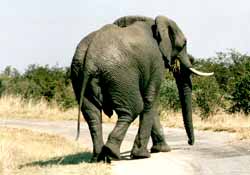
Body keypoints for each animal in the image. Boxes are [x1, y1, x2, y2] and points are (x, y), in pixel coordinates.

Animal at [70, 15, 213, 163]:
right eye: (184, 44)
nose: (190, 143)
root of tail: (90, 58)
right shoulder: (157, 60)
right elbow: (150, 99)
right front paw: (142, 155)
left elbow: (150, 102)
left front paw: (162, 150)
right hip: (121, 75)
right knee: (134, 108)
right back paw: (112, 153)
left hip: (79, 74)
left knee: (92, 114)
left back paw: (98, 157)